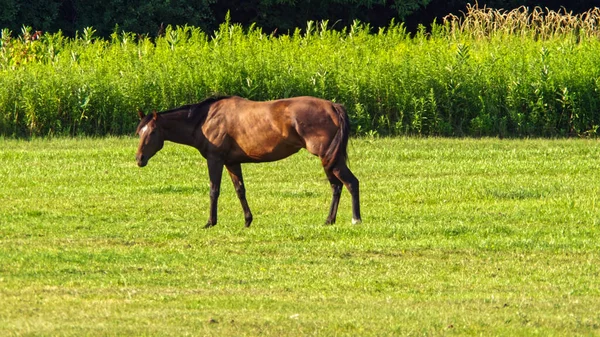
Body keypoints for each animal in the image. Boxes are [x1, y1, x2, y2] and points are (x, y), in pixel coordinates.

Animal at [136, 96, 360, 227]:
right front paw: (247, 220)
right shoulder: (232, 163)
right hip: (330, 159)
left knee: (351, 183)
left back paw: (355, 219)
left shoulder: (215, 160)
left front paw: (210, 222)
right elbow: (240, 190)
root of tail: (333, 106)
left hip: (328, 158)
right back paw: (329, 220)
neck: (204, 119)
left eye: (153, 132)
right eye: (140, 132)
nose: (139, 159)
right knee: (337, 186)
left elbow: (214, 190)